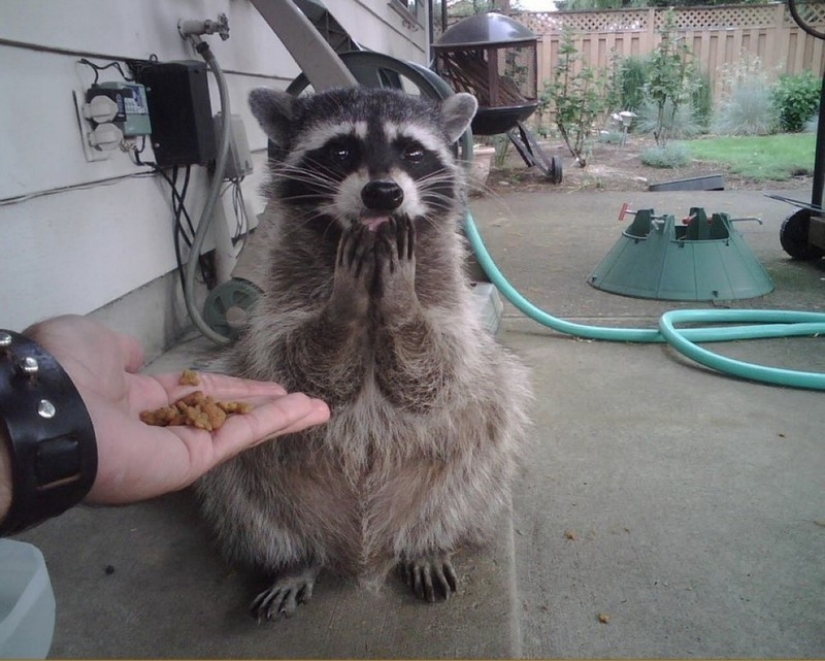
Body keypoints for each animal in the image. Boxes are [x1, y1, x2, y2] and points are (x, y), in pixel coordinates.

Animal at [196, 86, 531, 620]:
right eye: (340, 150)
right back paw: (293, 560)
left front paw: (401, 304)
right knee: (237, 483)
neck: (373, 256)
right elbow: (299, 373)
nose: (383, 193)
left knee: (491, 425)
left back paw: (428, 543)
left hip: (466, 475)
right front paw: (343, 308)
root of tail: (364, 551)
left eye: (412, 152)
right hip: (261, 487)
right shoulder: (283, 297)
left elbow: (438, 373)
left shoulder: (446, 292)